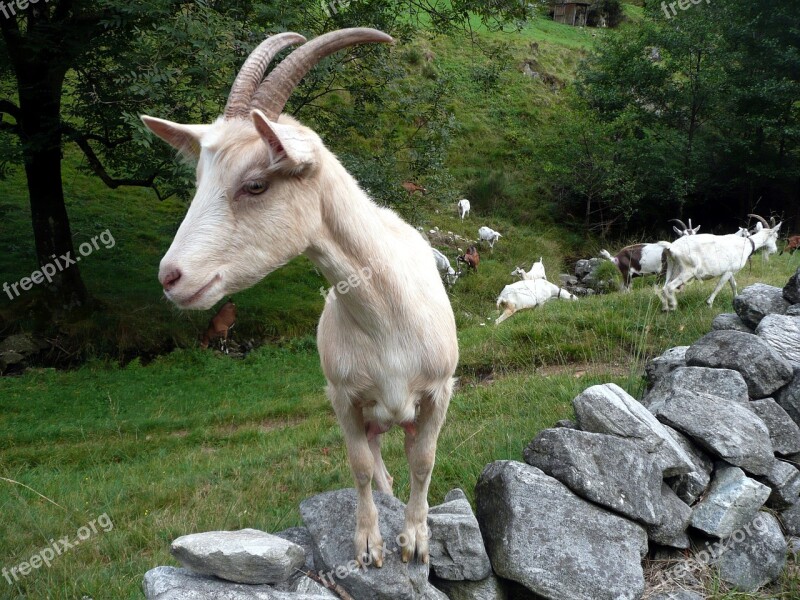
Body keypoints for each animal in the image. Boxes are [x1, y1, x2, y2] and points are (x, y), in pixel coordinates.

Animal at [141, 30, 460, 568]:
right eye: (199, 181)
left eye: (255, 184)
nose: (171, 277)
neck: (387, 317)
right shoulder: (343, 396)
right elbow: (359, 466)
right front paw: (369, 544)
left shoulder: (439, 390)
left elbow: (424, 462)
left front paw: (415, 540)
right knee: (379, 466)